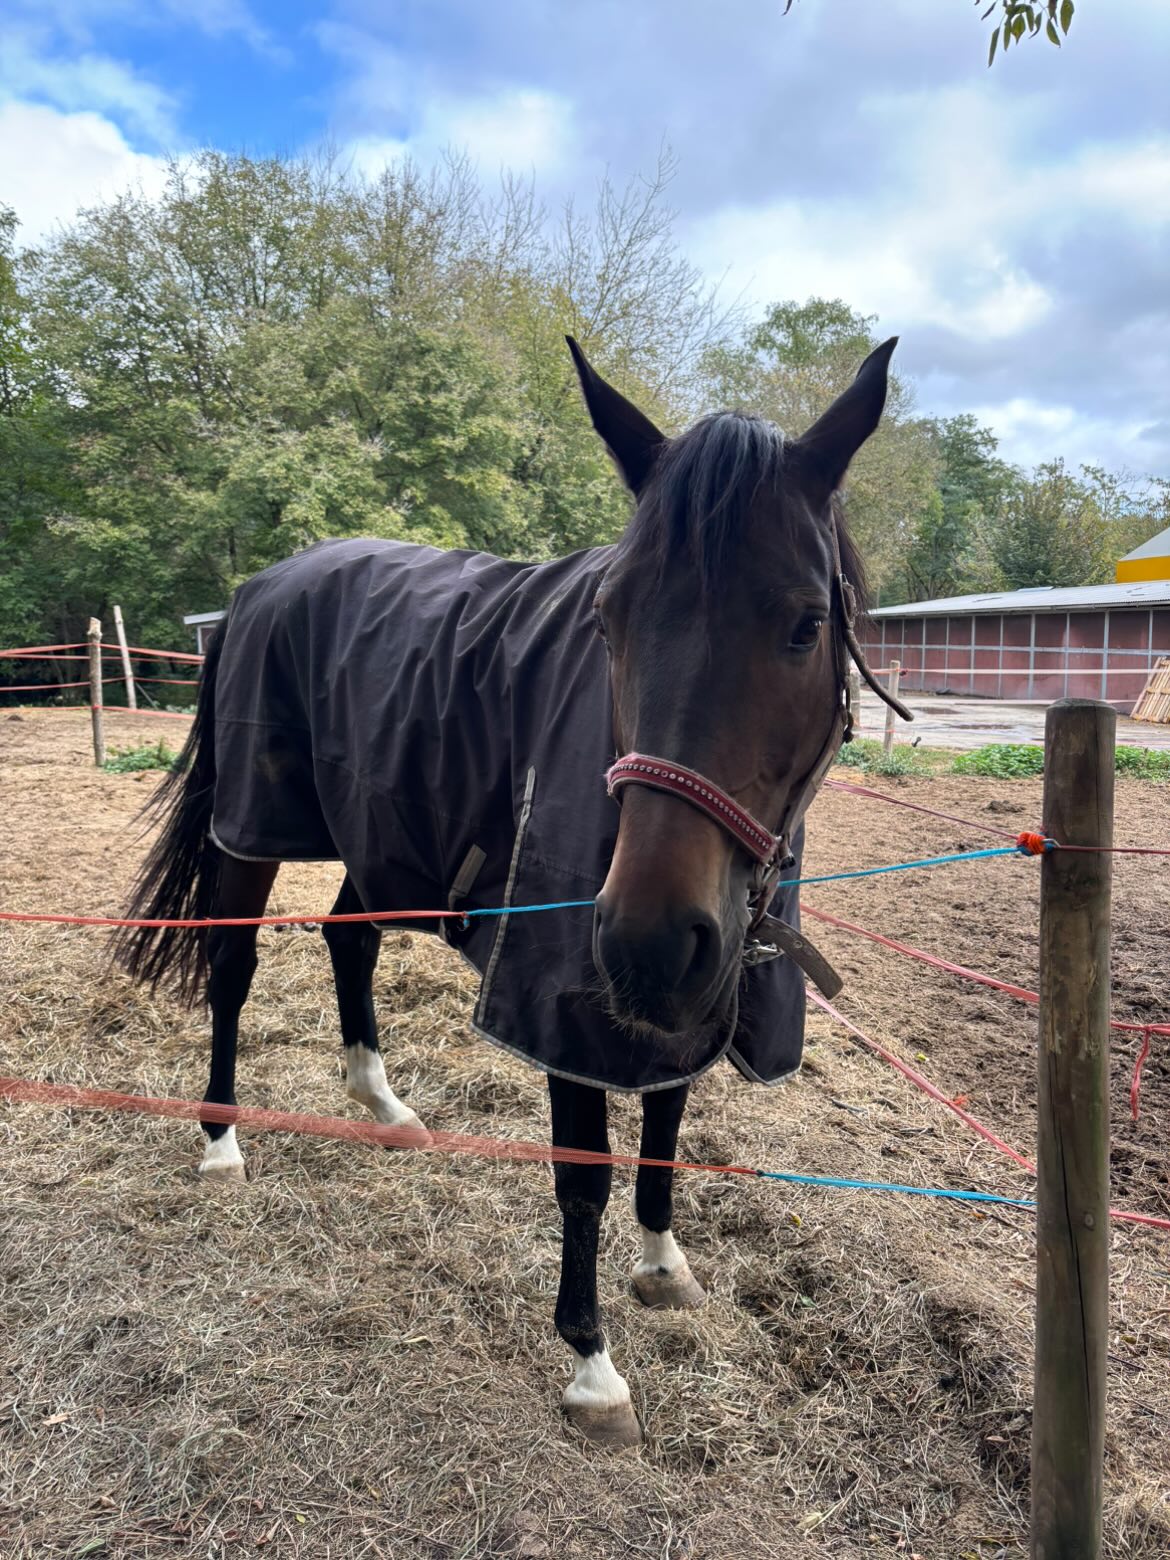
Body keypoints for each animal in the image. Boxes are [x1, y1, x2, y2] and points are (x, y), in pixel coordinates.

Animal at [113, 335, 907, 1448]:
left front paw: (664, 1264)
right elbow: (585, 1176)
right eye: (609, 620)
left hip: (385, 838)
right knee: (233, 965)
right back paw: (222, 1141)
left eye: (803, 625)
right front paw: (593, 1365)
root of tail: (260, 585)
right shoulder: (565, 998)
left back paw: (382, 1104)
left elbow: (666, 1124)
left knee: (348, 938)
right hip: (253, 826)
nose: (645, 940)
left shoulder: (690, 991)